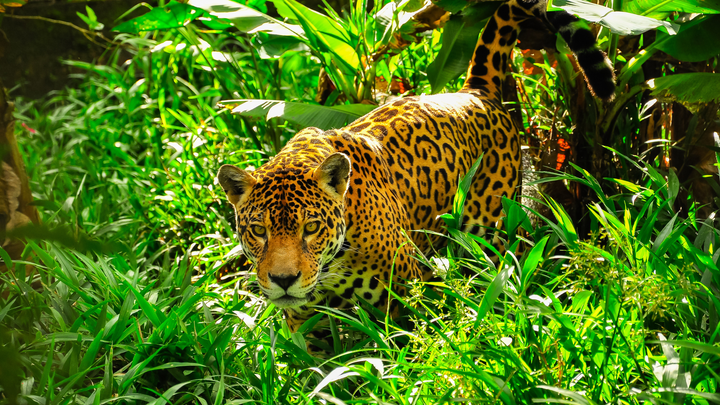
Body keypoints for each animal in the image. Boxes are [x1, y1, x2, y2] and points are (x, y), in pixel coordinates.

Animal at [217, 0, 615, 339]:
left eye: (311, 228)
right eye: (258, 231)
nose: (283, 279)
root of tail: (475, 91)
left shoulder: (403, 305)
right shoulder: (306, 325)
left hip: (492, 233)